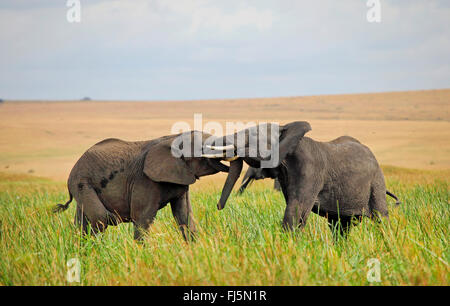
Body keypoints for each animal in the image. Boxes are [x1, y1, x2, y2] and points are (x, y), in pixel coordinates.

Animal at [52, 130, 239, 240]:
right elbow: (142, 218)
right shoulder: (144, 180)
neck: (172, 138)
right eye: (203, 148)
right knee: (101, 218)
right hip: (82, 183)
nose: (218, 206)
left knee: (83, 222)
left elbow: (184, 215)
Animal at [204, 120, 400, 238]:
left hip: (376, 181)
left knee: (380, 217)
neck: (286, 129)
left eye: (253, 136)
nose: (218, 207)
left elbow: (296, 207)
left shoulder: (310, 170)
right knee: (339, 226)